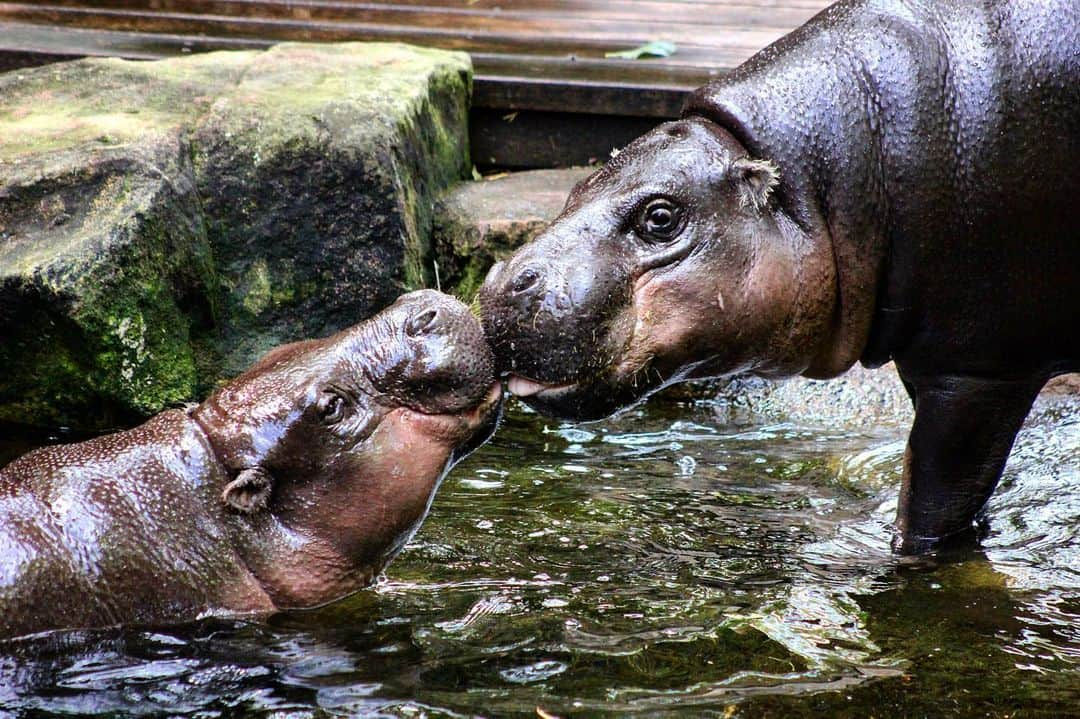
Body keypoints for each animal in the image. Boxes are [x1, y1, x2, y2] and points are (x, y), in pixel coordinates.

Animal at [483, 0, 1080, 552]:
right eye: (578, 186)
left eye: (660, 217)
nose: (506, 282)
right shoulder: (931, 365)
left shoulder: (977, 373)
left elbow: (933, 503)